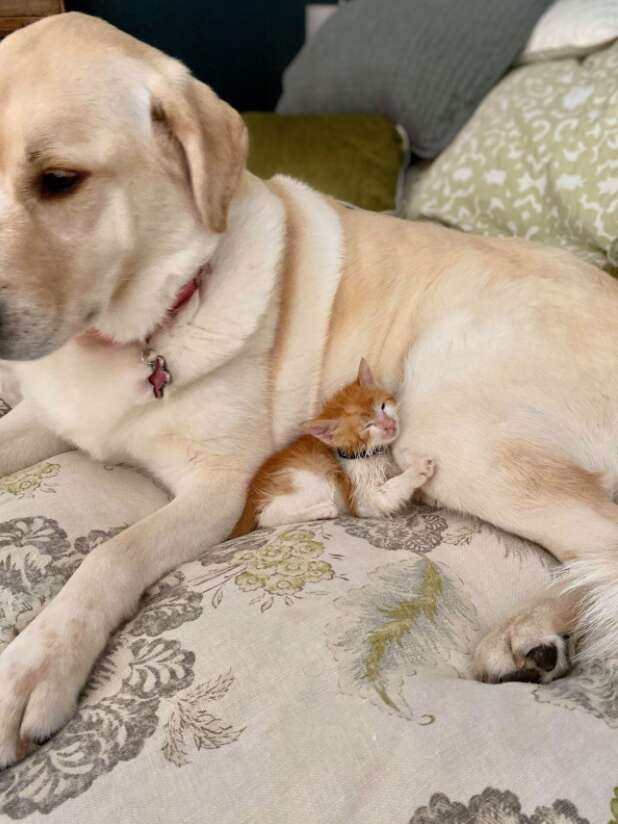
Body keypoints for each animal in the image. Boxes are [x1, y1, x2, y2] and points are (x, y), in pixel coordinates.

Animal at [231, 358, 434, 536]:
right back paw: (322, 510)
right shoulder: (361, 499)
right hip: (313, 477)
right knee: (268, 516)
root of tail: (252, 494)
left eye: (383, 406)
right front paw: (418, 471)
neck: (368, 453)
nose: (390, 425)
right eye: (367, 426)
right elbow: (389, 490)